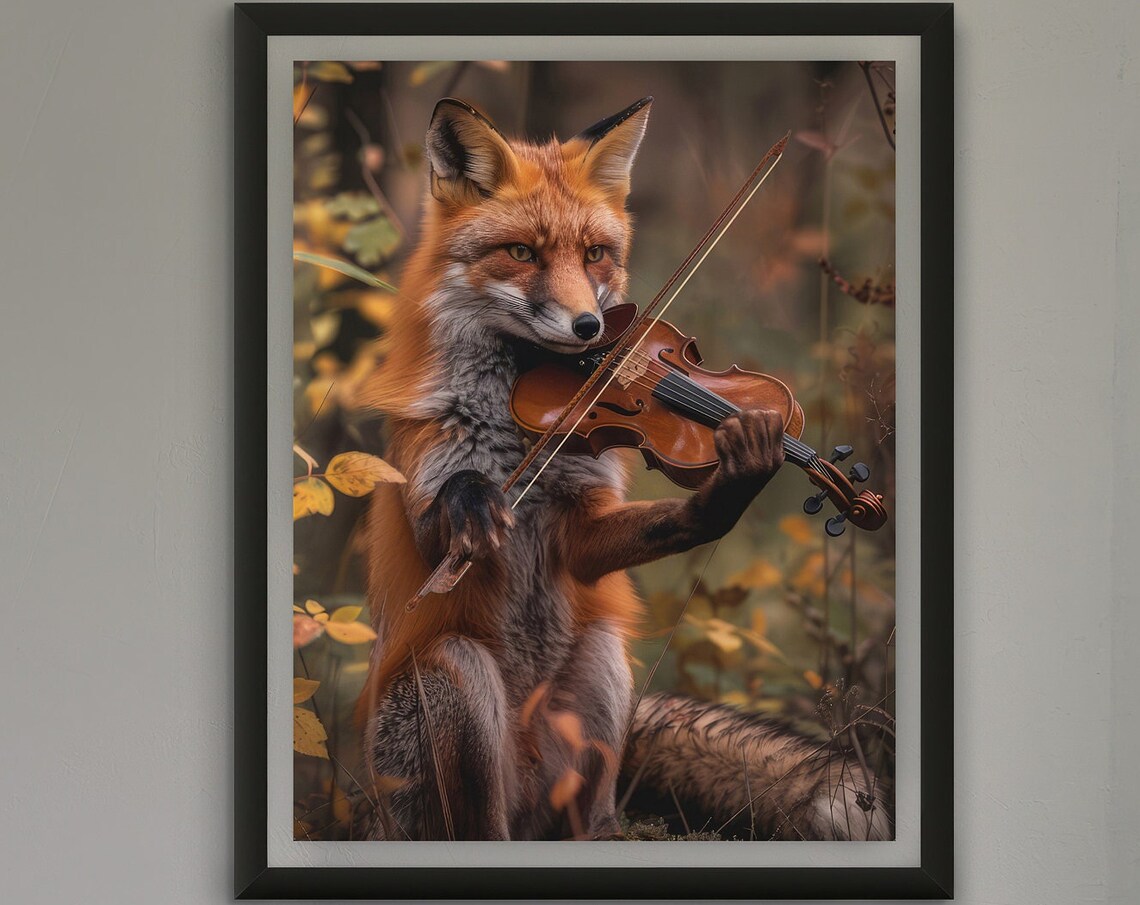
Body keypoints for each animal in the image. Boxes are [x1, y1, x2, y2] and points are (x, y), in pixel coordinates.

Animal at [354, 96, 890, 842]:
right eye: (521, 253)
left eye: (594, 255)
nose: (595, 339)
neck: (520, 436)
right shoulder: (422, 490)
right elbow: (446, 528)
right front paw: (474, 501)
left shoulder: (581, 519)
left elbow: (645, 530)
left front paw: (733, 482)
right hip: (452, 689)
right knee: (477, 820)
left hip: (604, 668)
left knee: (594, 809)